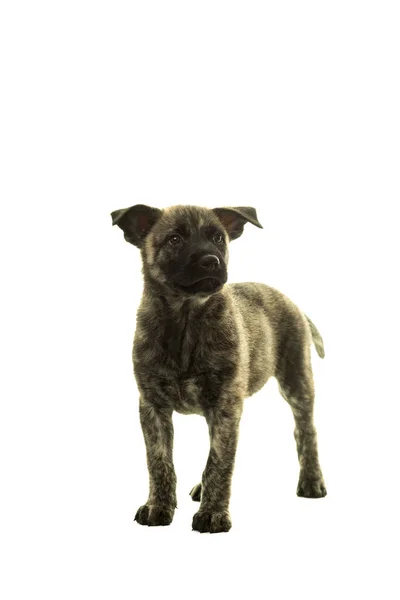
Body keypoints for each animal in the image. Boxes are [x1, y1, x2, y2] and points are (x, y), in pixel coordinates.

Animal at [111, 205, 326, 536]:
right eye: (174, 239)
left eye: (218, 239)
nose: (211, 261)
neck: (186, 319)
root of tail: (293, 303)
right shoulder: (152, 405)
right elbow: (159, 461)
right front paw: (158, 506)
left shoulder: (225, 405)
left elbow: (219, 461)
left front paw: (212, 514)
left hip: (296, 380)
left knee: (305, 430)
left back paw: (312, 481)